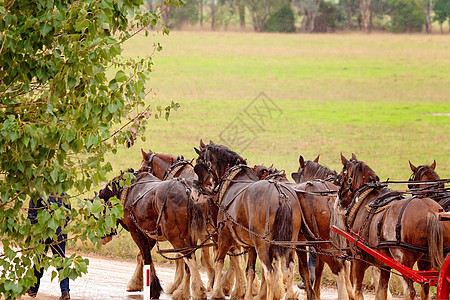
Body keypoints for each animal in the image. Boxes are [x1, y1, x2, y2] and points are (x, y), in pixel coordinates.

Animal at [98, 171, 207, 300]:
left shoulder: (136, 232)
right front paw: (137, 283)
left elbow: (146, 257)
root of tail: (188, 191)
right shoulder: (150, 235)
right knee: (189, 260)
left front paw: (152, 289)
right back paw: (183, 292)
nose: (103, 237)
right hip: (190, 237)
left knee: (189, 258)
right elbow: (143, 256)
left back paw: (198, 291)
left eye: (102, 210)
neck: (129, 191)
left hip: (175, 237)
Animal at [193, 142, 306, 300]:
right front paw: (247, 294)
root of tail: (281, 194)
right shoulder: (251, 246)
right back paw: (289, 294)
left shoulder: (224, 236)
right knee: (289, 268)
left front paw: (217, 292)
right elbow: (250, 271)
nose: (197, 191)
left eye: (199, 163)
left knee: (269, 271)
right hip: (290, 242)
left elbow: (219, 262)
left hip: (262, 243)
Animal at [338, 154, 450, 298]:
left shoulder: (358, 259)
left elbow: (357, 292)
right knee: (425, 290)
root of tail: (432, 212)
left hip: (402, 261)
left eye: (342, 174)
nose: (339, 198)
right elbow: (381, 292)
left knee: (410, 291)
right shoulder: (384, 265)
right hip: (427, 260)